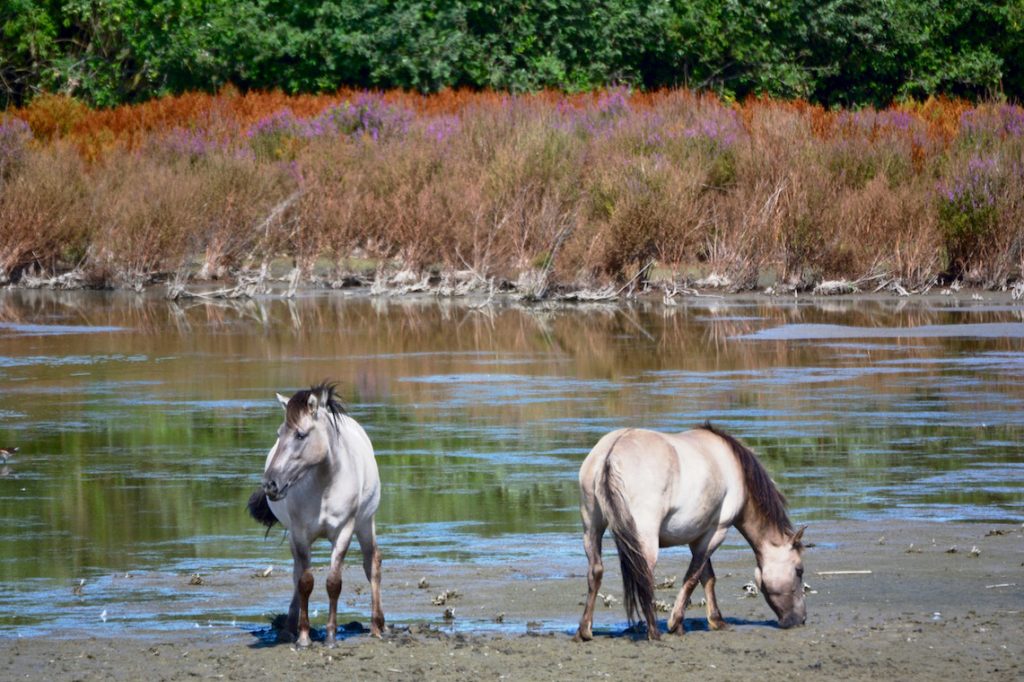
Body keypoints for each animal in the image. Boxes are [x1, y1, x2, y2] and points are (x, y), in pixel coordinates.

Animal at [246, 382, 385, 643]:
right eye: (279, 434)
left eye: (300, 435)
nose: (270, 484)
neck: (325, 484)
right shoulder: (299, 533)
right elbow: (304, 581)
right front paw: (303, 636)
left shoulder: (344, 531)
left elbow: (333, 583)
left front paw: (330, 636)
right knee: (296, 573)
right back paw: (288, 628)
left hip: (365, 523)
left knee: (371, 565)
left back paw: (377, 626)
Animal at [573, 421, 802, 638]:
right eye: (799, 570)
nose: (800, 620)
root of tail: (611, 453)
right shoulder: (716, 532)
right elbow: (693, 577)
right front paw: (676, 623)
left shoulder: (698, 536)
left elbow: (707, 577)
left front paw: (716, 621)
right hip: (645, 539)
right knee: (644, 574)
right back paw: (653, 632)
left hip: (592, 528)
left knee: (596, 571)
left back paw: (584, 631)